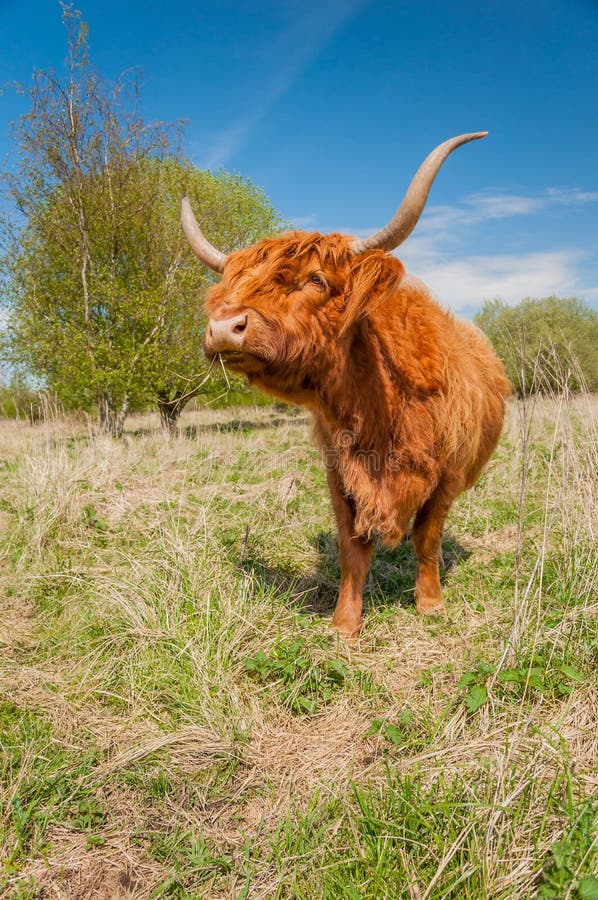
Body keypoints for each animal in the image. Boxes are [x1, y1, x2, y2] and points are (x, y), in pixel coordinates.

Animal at [181, 132, 511, 638]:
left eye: (316, 279)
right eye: (230, 287)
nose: (223, 328)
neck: (380, 409)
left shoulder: (447, 476)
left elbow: (427, 538)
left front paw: (430, 604)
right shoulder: (341, 473)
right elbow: (352, 550)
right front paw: (344, 625)